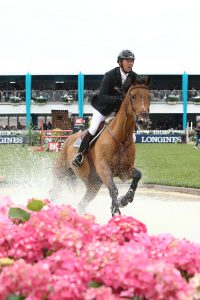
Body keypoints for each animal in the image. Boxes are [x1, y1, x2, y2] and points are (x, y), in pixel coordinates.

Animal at [50, 75, 151, 216]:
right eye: (133, 96)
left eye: (149, 97)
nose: (144, 122)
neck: (121, 138)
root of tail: (67, 139)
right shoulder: (104, 170)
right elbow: (113, 190)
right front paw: (116, 210)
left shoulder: (124, 171)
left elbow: (137, 176)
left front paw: (124, 200)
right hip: (60, 173)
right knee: (53, 194)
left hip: (94, 184)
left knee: (81, 204)